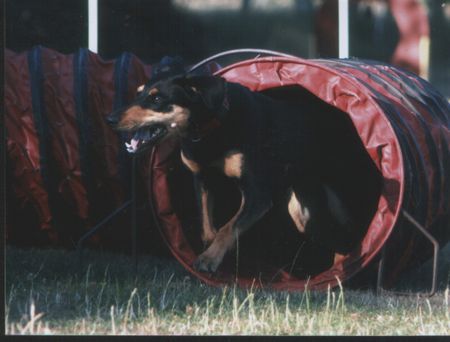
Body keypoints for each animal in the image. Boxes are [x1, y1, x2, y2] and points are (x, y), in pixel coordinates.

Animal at [109, 75, 370, 272]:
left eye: (157, 98)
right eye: (138, 93)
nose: (110, 118)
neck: (210, 131)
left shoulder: (258, 195)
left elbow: (228, 227)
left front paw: (208, 260)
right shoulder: (202, 180)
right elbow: (208, 227)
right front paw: (212, 252)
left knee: (350, 235)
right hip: (304, 210)